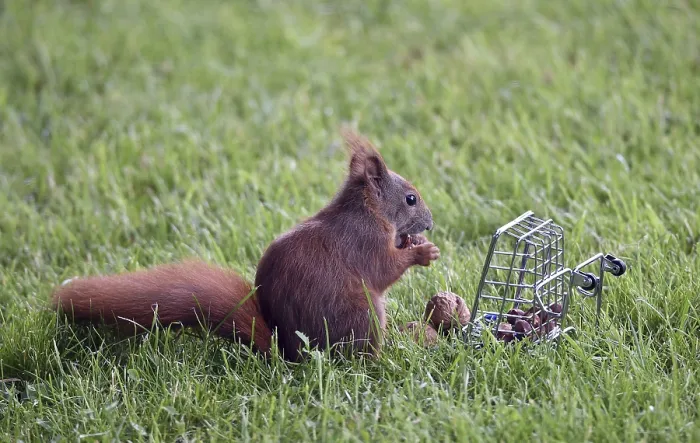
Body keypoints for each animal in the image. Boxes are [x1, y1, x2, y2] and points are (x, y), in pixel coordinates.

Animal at [51, 128, 440, 361]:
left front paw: (417, 241)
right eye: (410, 199)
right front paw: (423, 251)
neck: (368, 210)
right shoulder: (364, 240)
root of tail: (289, 355)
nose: (430, 223)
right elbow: (384, 269)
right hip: (363, 314)